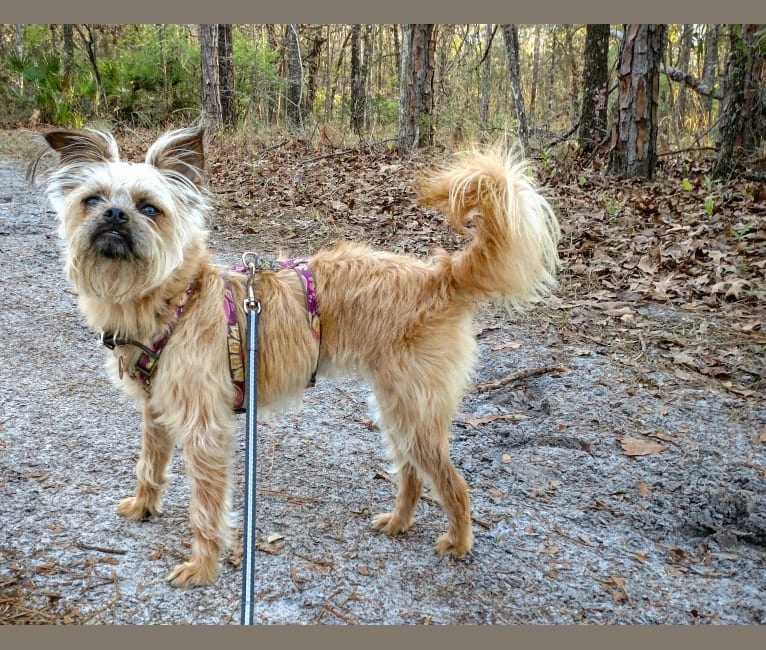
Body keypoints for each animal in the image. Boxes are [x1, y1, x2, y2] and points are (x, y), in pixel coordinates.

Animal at [36, 125, 560, 588]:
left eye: (149, 208)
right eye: (93, 199)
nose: (114, 217)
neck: (177, 298)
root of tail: (440, 275)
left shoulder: (204, 431)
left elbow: (206, 508)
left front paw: (202, 568)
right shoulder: (156, 412)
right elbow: (149, 465)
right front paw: (144, 507)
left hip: (413, 409)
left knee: (452, 481)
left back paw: (460, 540)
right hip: (396, 406)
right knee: (411, 472)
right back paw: (399, 521)